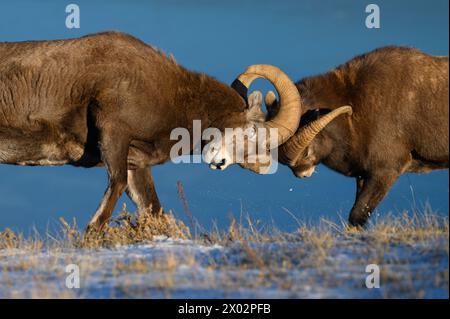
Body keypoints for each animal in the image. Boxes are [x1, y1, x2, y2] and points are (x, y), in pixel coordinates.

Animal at [0, 31, 302, 232]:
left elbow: (151, 208)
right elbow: (116, 186)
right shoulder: (114, 135)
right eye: (250, 133)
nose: (220, 162)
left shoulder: (136, 164)